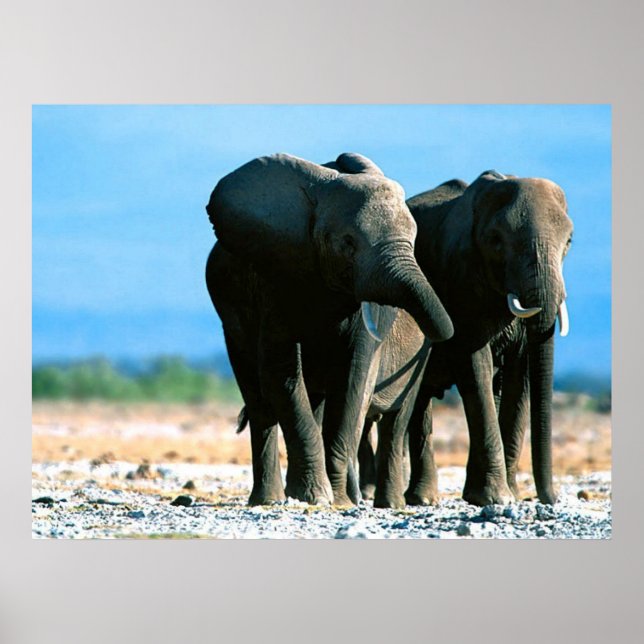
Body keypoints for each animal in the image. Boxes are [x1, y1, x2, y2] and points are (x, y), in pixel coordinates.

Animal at [205, 152, 453, 506]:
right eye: (347, 243)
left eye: (414, 240)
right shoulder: (275, 279)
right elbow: (280, 374)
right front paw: (314, 498)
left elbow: (352, 379)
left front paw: (337, 500)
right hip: (231, 321)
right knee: (259, 400)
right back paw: (268, 500)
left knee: (394, 419)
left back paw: (387, 503)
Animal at [360, 170, 573, 507]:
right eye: (496, 241)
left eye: (569, 242)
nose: (548, 499)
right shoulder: (461, 282)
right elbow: (474, 363)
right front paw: (496, 498)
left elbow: (520, 375)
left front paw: (501, 496)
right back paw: (422, 499)